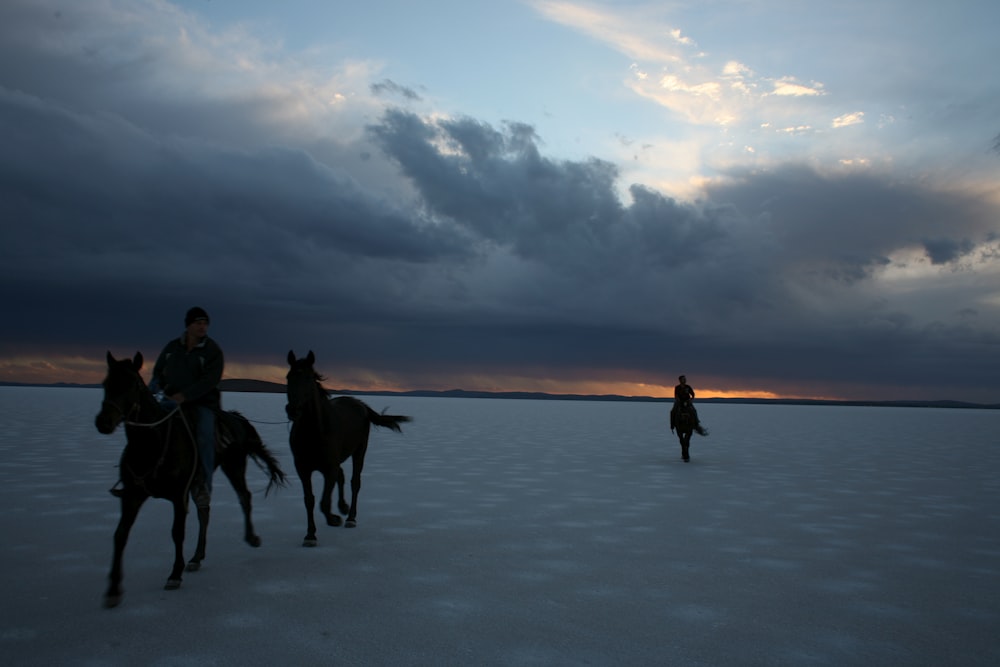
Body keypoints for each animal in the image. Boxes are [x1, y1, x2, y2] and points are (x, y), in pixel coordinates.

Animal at [94, 352, 288, 608]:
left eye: (133, 385)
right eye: (106, 383)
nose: (103, 422)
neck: (151, 445)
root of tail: (239, 419)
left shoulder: (178, 495)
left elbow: (177, 532)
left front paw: (174, 574)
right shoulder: (133, 495)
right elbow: (120, 534)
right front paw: (113, 589)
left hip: (234, 465)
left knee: (243, 497)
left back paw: (251, 537)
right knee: (205, 510)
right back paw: (197, 557)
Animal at [286, 352, 410, 544]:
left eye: (308, 377)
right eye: (288, 377)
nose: (292, 410)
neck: (314, 432)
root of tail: (361, 404)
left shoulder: (329, 466)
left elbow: (324, 502)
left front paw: (334, 519)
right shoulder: (302, 468)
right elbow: (309, 500)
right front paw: (310, 534)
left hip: (360, 451)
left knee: (354, 482)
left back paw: (350, 517)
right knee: (342, 476)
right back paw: (343, 507)